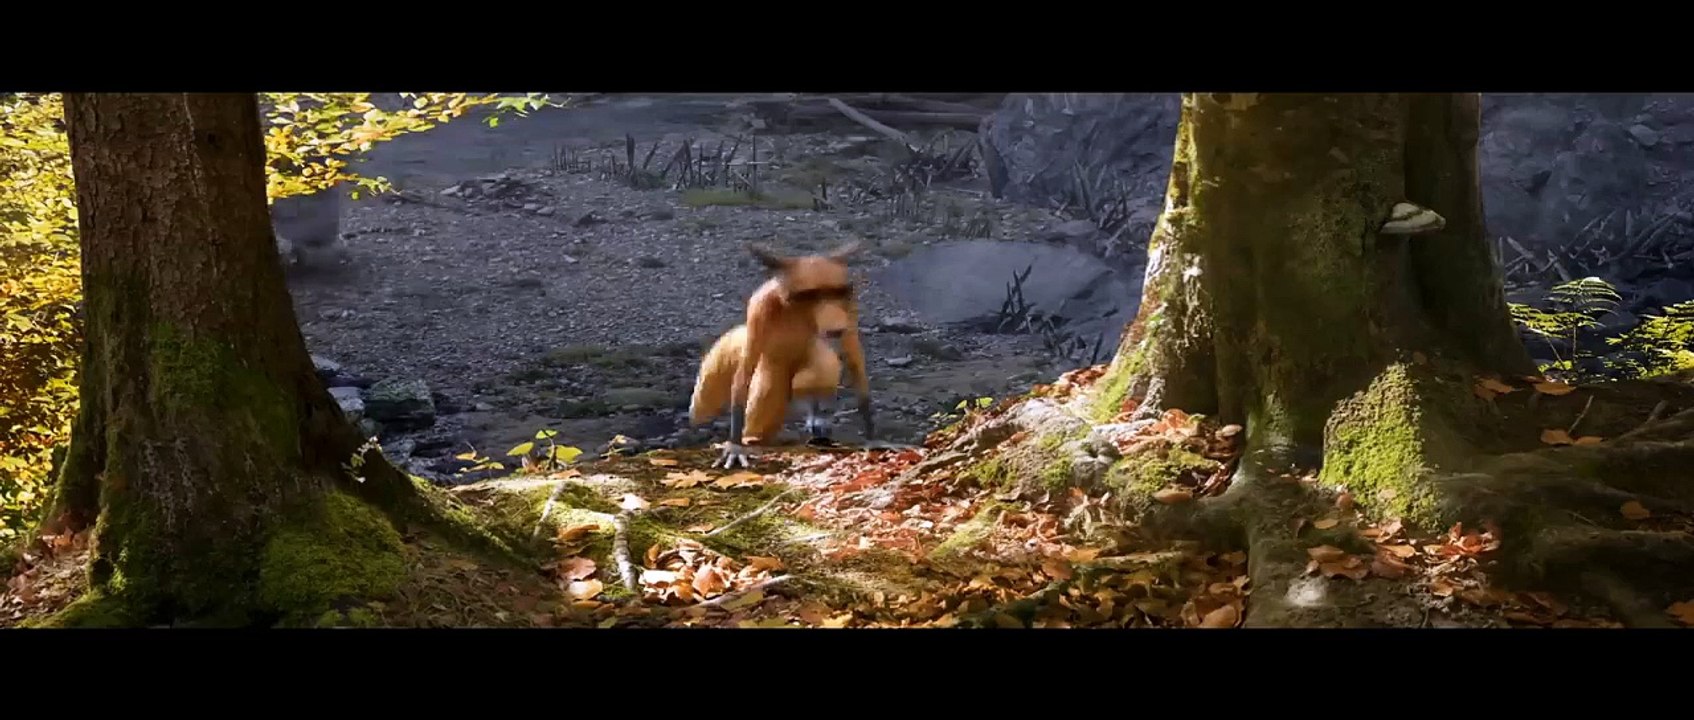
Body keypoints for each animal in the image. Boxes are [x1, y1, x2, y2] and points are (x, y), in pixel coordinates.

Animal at [689, 241, 874, 468]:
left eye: (836, 291)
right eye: (811, 294)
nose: (835, 328)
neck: (799, 311)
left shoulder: (849, 307)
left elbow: (854, 359)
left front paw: (872, 438)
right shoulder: (760, 309)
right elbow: (744, 374)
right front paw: (735, 446)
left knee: (820, 368)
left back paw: (818, 425)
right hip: (771, 368)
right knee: (767, 393)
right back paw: (752, 439)